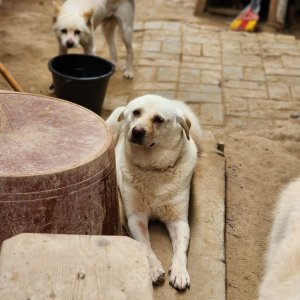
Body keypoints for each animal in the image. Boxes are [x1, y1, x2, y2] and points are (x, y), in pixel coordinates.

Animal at [105, 94, 202, 290]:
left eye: (159, 119)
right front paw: (153, 268)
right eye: (136, 112)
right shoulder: (136, 217)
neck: (152, 169)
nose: (136, 131)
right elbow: (145, 246)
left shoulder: (178, 221)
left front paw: (180, 272)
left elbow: (181, 250)